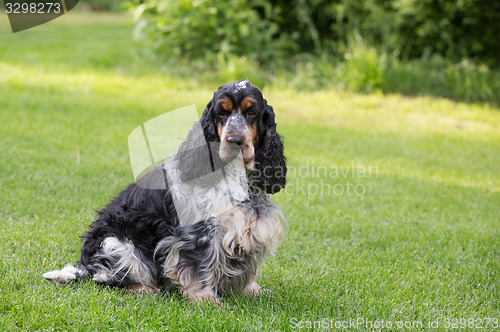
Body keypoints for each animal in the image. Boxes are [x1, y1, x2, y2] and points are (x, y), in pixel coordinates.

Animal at [45, 80, 288, 304]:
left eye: (251, 112)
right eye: (221, 113)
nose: (235, 140)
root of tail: (84, 265)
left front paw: (250, 290)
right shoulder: (198, 232)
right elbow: (200, 265)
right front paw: (205, 299)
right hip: (117, 243)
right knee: (105, 278)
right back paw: (143, 289)